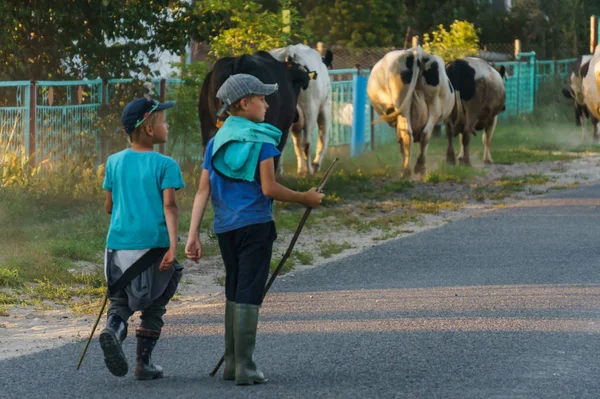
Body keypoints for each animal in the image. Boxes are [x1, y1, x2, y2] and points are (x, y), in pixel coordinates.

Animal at [268, 43, 330, 175]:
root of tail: (290, 51)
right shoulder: (324, 107)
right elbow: (323, 138)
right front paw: (314, 165)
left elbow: (296, 143)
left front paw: (300, 169)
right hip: (310, 108)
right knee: (307, 142)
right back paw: (309, 171)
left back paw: (279, 172)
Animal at [368, 47, 458, 177]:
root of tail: (417, 53)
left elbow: (400, 138)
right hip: (434, 105)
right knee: (425, 134)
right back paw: (420, 167)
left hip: (402, 105)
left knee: (407, 134)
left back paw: (406, 170)